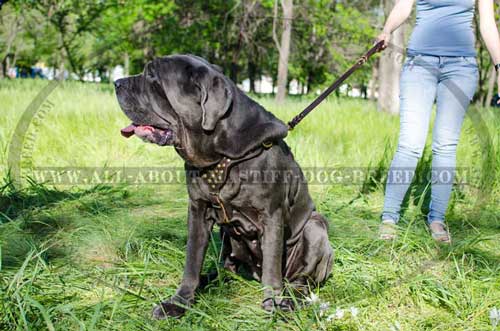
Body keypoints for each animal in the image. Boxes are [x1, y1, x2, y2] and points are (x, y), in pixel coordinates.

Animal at [113, 55, 332, 320]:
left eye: (152, 76)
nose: (116, 82)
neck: (221, 154)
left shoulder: (271, 215)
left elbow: (272, 267)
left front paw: (272, 304)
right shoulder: (198, 210)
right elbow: (192, 261)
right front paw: (179, 302)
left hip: (315, 227)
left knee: (301, 280)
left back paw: (290, 299)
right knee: (225, 268)